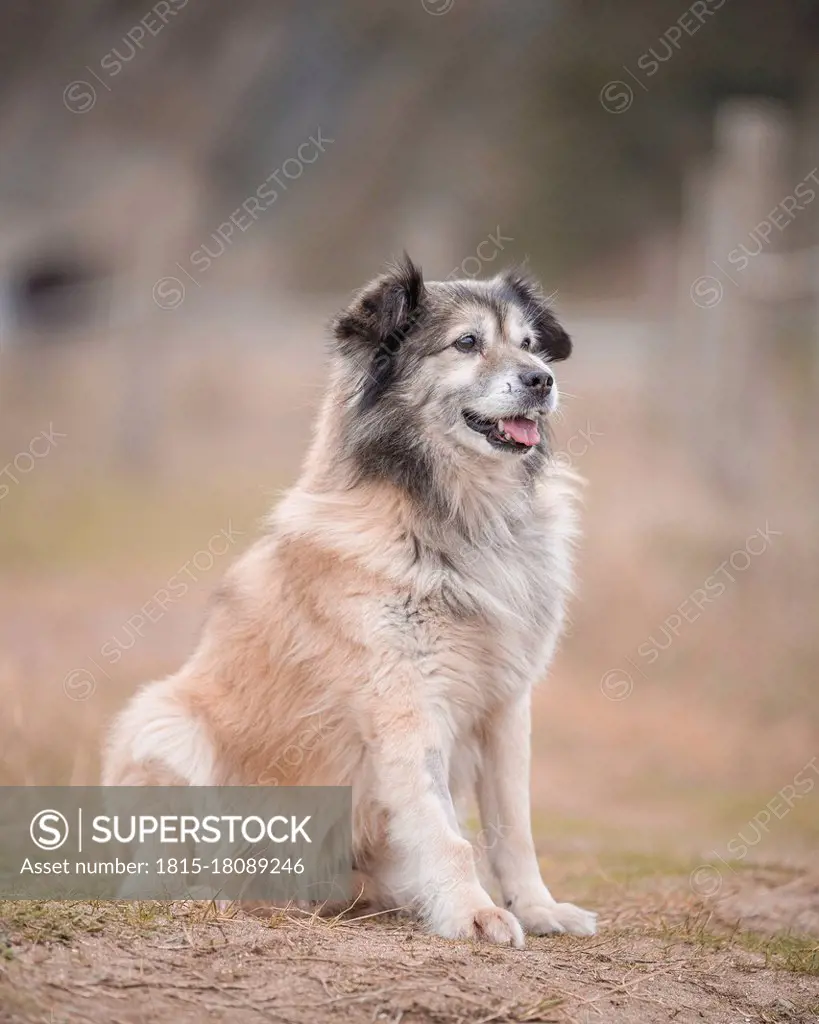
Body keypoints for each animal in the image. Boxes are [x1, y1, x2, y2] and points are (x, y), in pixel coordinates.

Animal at [105, 260, 597, 946]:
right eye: (467, 343)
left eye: (529, 344)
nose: (542, 381)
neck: (457, 518)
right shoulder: (405, 705)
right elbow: (446, 832)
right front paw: (472, 913)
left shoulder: (505, 705)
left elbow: (513, 829)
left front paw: (538, 909)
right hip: (163, 725)